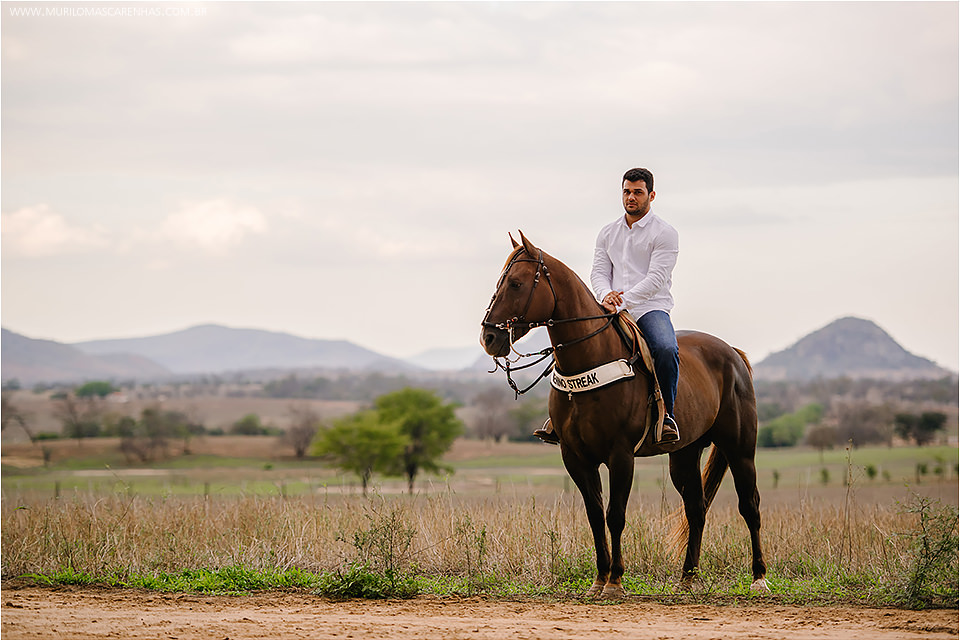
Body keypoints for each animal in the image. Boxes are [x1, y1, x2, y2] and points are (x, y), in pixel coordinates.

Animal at [480, 232, 768, 598]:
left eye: (516, 284)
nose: (489, 337)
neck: (590, 359)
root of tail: (733, 353)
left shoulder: (621, 455)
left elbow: (615, 514)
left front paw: (615, 581)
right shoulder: (575, 457)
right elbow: (594, 515)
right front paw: (599, 579)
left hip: (740, 449)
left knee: (750, 505)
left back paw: (759, 577)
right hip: (684, 454)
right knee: (696, 508)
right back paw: (687, 578)